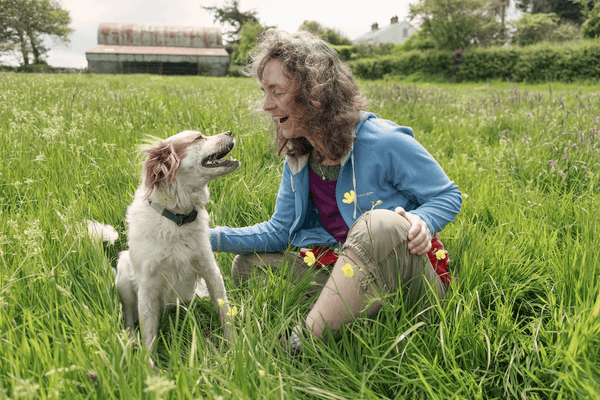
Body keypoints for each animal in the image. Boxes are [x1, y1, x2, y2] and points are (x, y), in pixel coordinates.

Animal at [115, 130, 239, 352]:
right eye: (198, 137)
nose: (230, 132)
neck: (177, 219)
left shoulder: (210, 270)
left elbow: (224, 313)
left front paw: (235, 349)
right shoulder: (147, 285)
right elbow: (148, 332)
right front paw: (148, 361)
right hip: (123, 273)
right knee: (129, 318)